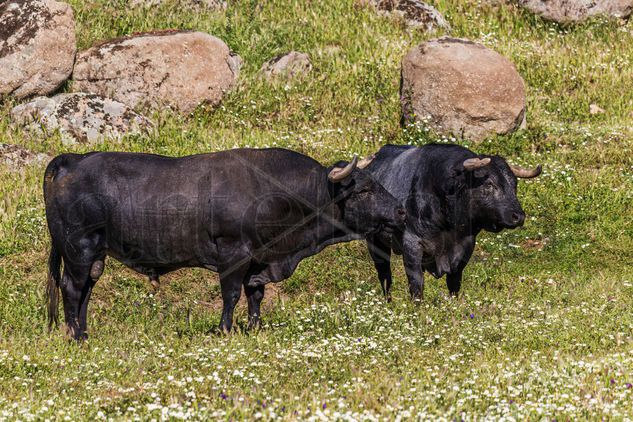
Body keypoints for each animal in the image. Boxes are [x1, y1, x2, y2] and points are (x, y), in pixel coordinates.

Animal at [362, 145, 540, 300]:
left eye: (515, 184)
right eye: (489, 183)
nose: (518, 216)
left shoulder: (465, 247)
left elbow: (454, 282)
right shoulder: (412, 244)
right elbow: (416, 283)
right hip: (375, 242)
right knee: (385, 275)